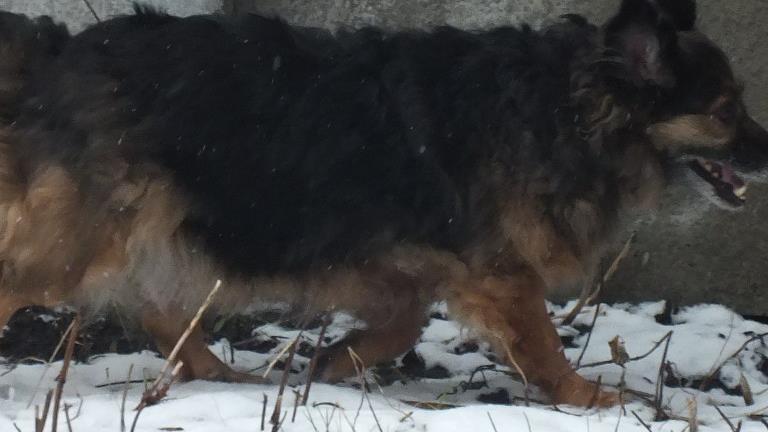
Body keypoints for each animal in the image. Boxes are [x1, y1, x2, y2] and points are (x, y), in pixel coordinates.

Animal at [0, 0, 766, 407]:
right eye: (726, 112)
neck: (563, 106)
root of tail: (58, 51)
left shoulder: (394, 262)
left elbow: (401, 325)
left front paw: (336, 362)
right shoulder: (497, 271)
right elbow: (542, 344)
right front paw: (590, 399)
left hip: (160, 219)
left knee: (162, 309)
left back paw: (220, 377)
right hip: (83, 235)